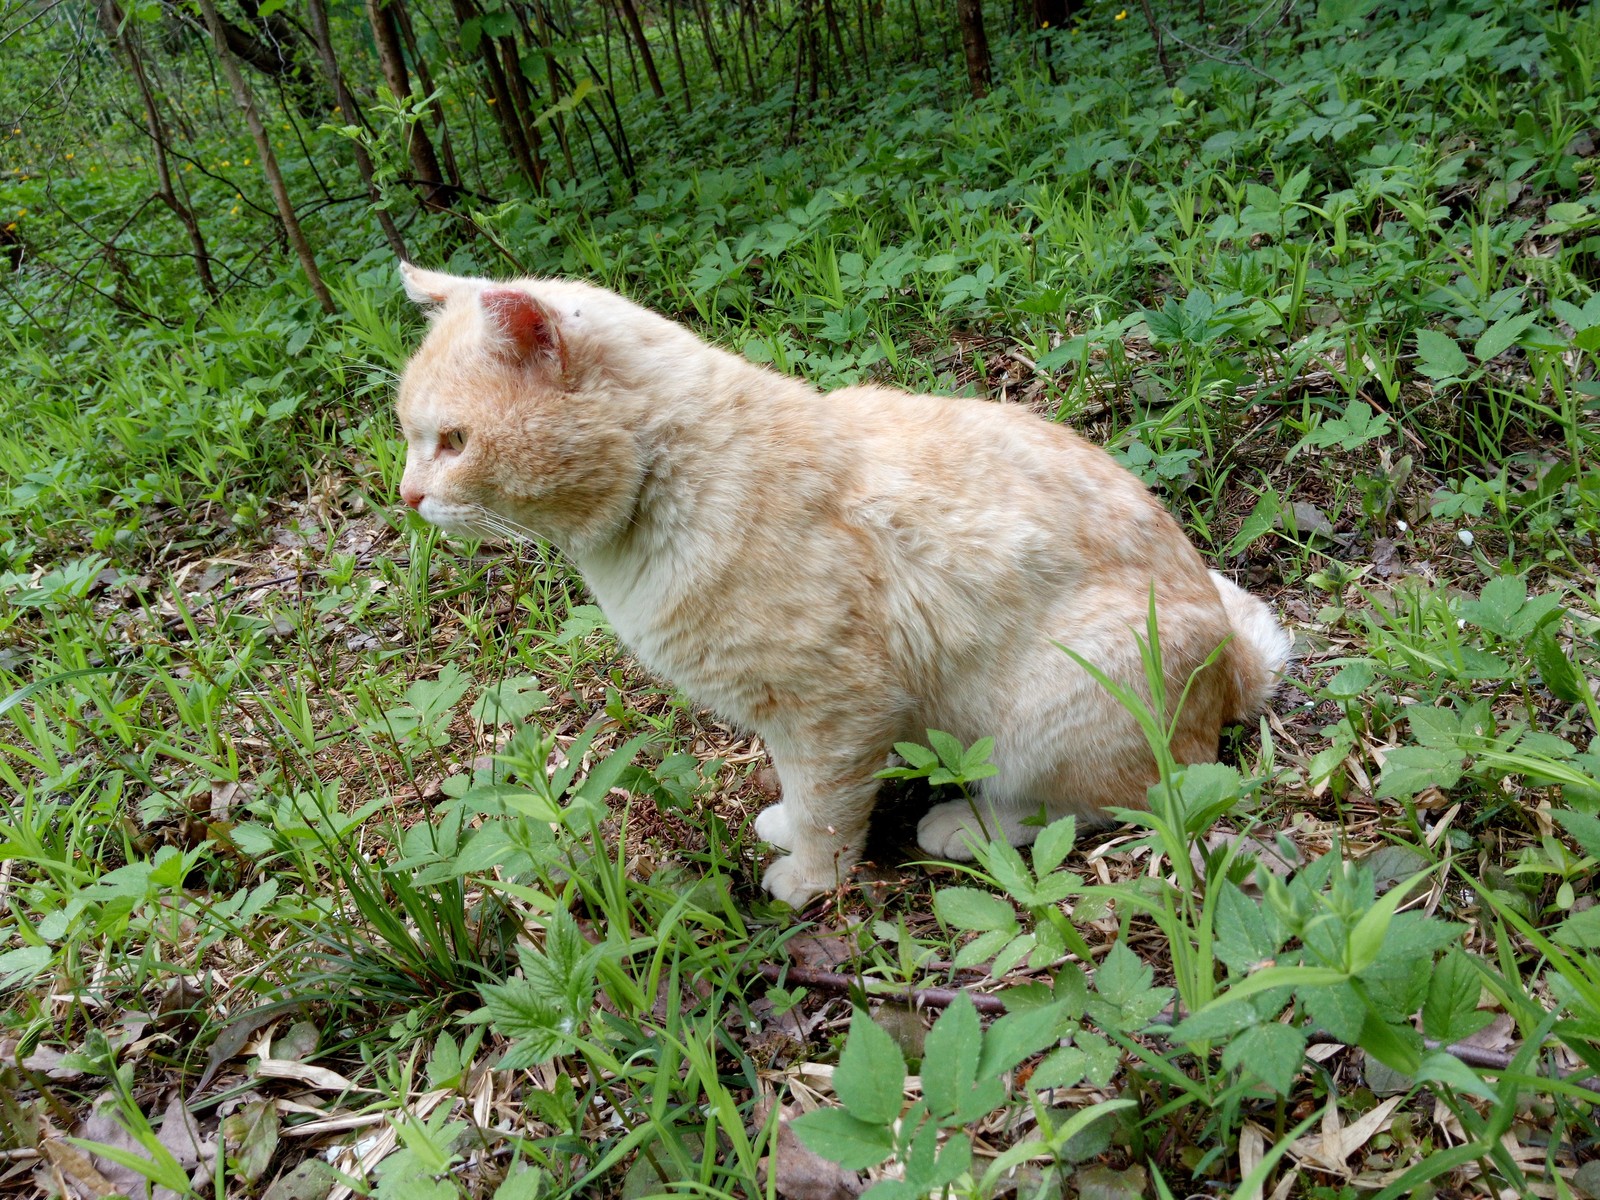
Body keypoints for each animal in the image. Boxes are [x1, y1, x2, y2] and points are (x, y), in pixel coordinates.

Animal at [393, 260, 1292, 902]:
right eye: (410, 437)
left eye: (454, 441)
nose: (405, 496)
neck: (677, 476)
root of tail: (1234, 670)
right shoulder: (791, 718)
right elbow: (801, 793)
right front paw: (786, 826)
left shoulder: (836, 711)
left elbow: (829, 807)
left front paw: (811, 878)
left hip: (1054, 703)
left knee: (1103, 799)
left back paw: (967, 824)